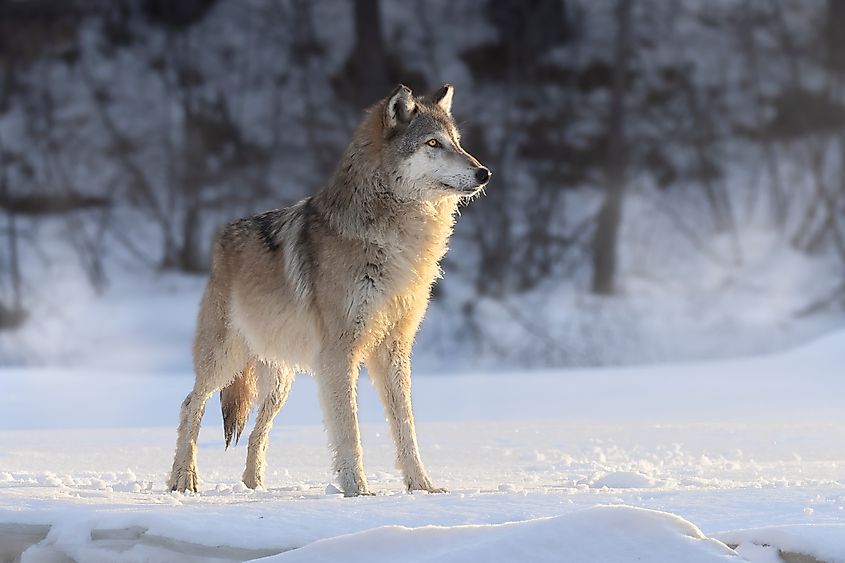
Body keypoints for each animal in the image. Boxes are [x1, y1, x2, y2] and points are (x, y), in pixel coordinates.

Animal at [166, 83, 488, 498]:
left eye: (458, 142)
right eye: (433, 143)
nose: (484, 172)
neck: (392, 239)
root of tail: (221, 239)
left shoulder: (394, 350)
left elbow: (406, 428)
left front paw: (422, 487)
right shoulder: (339, 353)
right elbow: (348, 429)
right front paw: (357, 490)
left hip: (279, 384)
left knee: (256, 433)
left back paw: (254, 487)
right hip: (225, 360)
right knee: (190, 403)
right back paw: (183, 479)